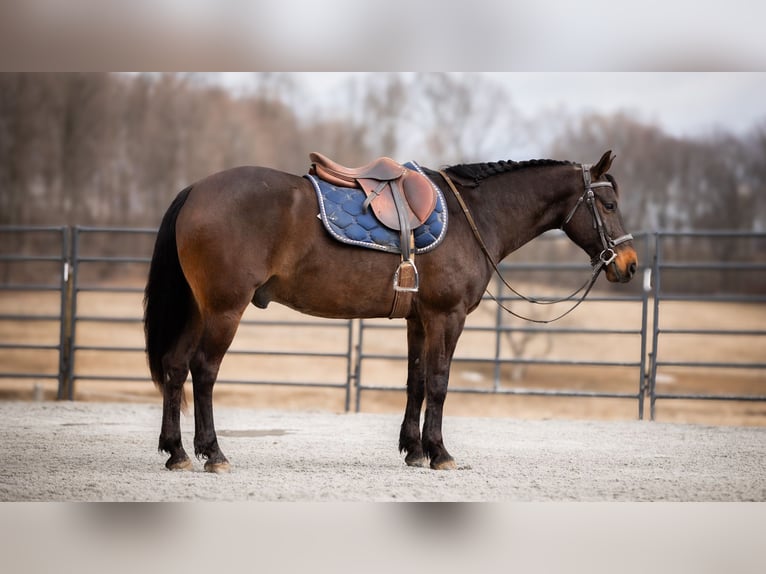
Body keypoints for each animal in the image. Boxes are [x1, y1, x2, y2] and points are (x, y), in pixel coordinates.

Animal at [146, 152, 640, 472]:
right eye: (610, 204)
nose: (629, 265)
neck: (473, 216)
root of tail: (196, 190)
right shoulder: (447, 316)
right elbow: (439, 383)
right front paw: (440, 453)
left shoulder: (418, 319)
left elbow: (416, 381)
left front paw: (414, 450)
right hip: (224, 309)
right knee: (203, 370)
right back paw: (212, 453)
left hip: (198, 308)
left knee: (174, 367)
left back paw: (177, 453)